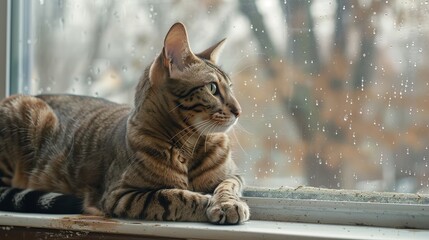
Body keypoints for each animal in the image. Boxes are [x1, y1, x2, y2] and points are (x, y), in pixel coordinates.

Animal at [0, 22, 249, 225]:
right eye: (212, 88)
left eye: (230, 87)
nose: (239, 111)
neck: (190, 144)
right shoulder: (120, 195)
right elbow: (172, 195)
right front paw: (206, 202)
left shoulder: (232, 175)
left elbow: (226, 187)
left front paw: (228, 203)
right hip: (24, 111)